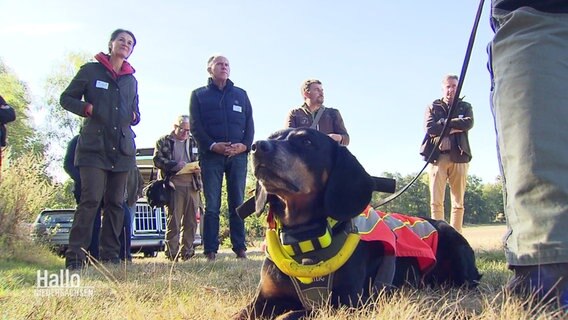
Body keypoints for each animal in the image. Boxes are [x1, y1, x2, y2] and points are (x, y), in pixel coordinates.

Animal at [233, 128, 482, 320]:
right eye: (272, 136)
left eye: (306, 141)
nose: (257, 146)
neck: (304, 239)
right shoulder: (265, 299)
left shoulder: (346, 302)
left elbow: (292, 314)